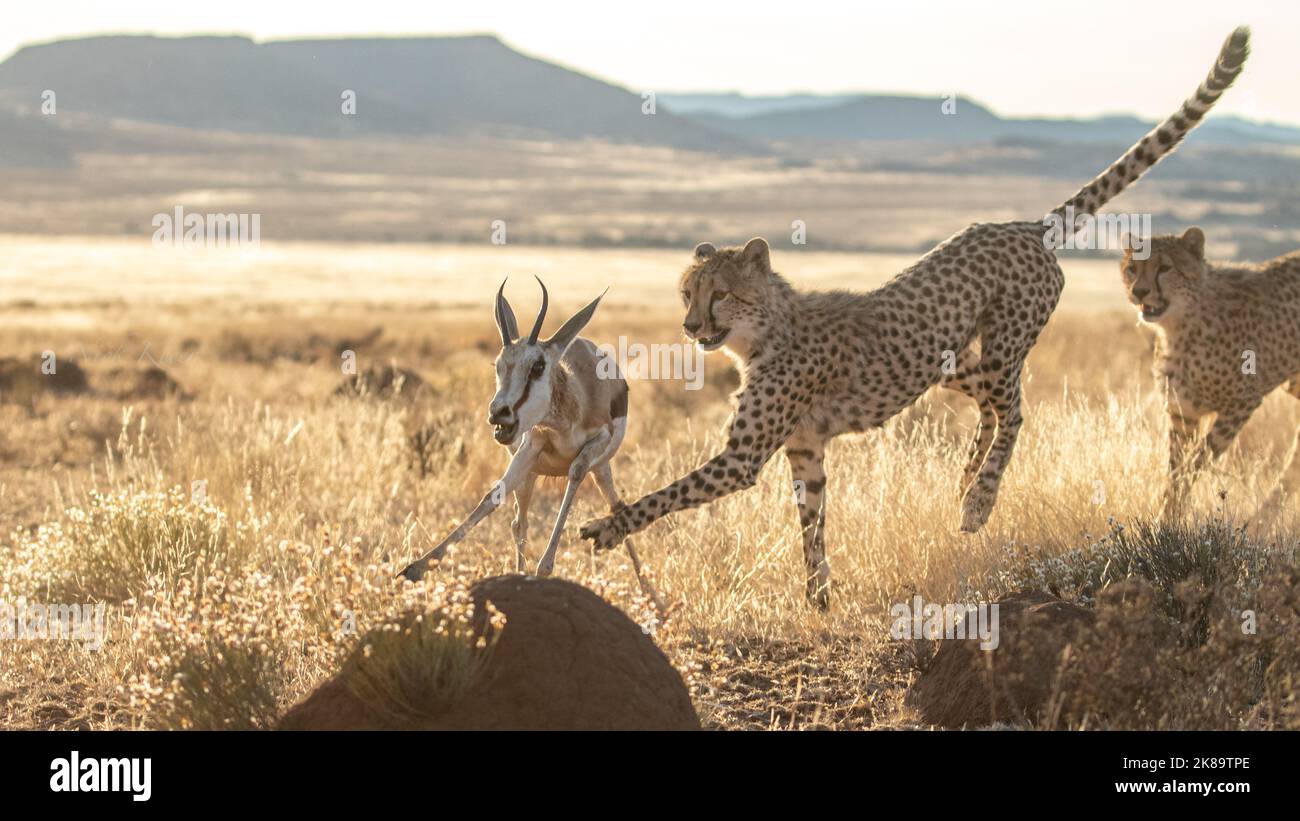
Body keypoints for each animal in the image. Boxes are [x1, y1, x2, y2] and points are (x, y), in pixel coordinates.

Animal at [579, 28, 1248, 605]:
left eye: (718, 294)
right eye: (686, 294)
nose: (691, 328)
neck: (765, 331)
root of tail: (1022, 225)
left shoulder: (746, 458)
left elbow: (669, 494)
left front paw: (610, 527)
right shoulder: (806, 451)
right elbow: (811, 527)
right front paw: (819, 598)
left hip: (1003, 345)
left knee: (1016, 412)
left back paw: (979, 500)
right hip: (949, 362)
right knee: (993, 405)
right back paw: (965, 478)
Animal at [1118, 229, 1300, 524]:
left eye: (1165, 268)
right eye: (1132, 268)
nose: (1139, 291)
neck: (1179, 327)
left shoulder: (1241, 404)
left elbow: (1196, 462)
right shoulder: (1183, 412)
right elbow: (1175, 470)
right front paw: (1166, 520)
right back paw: (1258, 524)